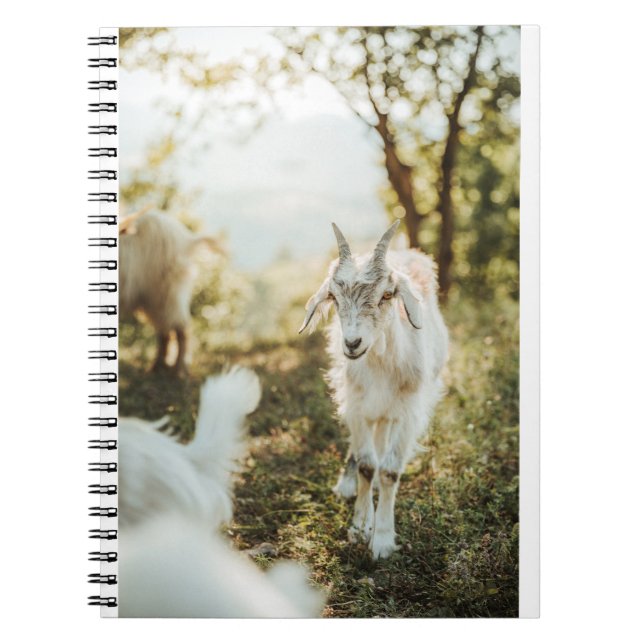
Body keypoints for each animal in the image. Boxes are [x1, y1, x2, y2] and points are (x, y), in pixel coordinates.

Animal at [119, 211, 220, 374]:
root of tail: (187, 239)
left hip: (165, 293)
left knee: (180, 327)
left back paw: (179, 370)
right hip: (154, 298)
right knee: (165, 329)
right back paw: (157, 367)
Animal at [299, 220, 449, 559]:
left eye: (387, 295)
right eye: (334, 297)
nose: (353, 344)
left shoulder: (408, 412)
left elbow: (390, 470)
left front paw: (381, 539)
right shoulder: (356, 406)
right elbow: (367, 465)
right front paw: (359, 527)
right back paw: (347, 485)